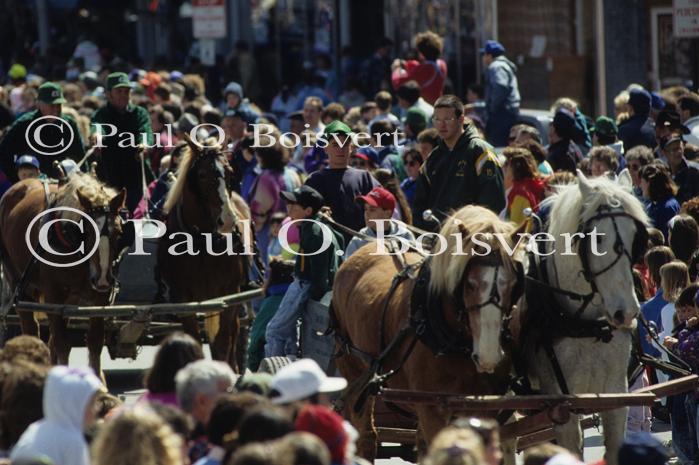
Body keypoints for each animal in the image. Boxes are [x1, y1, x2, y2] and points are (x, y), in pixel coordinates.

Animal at [0, 172, 128, 378]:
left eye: (119, 231)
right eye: (87, 233)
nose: (102, 279)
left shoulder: (99, 299)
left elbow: (94, 343)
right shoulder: (54, 295)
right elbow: (62, 344)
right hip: (19, 282)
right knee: (31, 330)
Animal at [159, 138, 252, 370]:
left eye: (230, 172)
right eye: (201, 175)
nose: (228, 221)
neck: (203, 241)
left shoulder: (229, 294)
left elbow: (223, 341)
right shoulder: (183, 299)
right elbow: (194, 338)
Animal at [334, 205, 524, 458]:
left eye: (513, 284)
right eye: (469, 283)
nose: (488, 355)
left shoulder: (484, 406)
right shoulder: (432, 408)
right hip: (353, 368)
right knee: (365, 436)